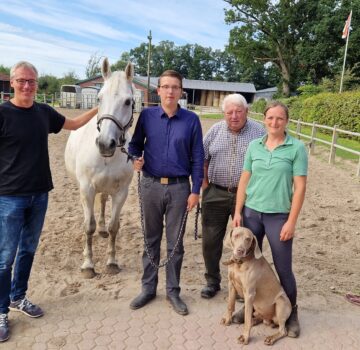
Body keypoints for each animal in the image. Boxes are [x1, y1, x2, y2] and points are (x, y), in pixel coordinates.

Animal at [64, 59, 134, 278]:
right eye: (99, 98)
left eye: (128, 102)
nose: (105, 143)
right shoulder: (87, 189)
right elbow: (88, 227)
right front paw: (88, 265)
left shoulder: (121, 192)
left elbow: (114, 227)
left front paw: (111, 262)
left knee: (103, 202)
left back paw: (102, 229)